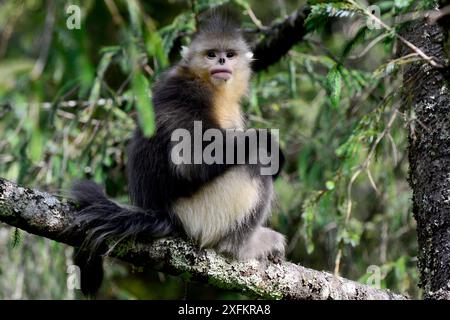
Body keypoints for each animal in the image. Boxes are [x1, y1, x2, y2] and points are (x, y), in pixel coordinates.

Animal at [68, 11, 286, 298]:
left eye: (230, 54)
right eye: (211, 54)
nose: (221, 61)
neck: (211, 86)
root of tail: (163, 215)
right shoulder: (190, 95)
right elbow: (192, 163)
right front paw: (271, 143)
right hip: (202, 213)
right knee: (257, 161)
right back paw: (240, 247)